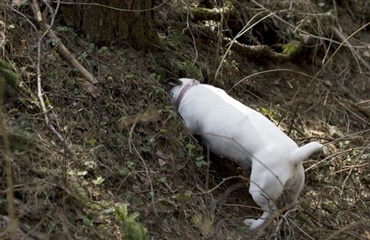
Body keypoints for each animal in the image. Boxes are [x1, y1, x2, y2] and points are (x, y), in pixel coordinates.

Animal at [171, 78, 324, 229]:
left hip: (260, 190)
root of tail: (293, 156)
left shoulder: (189, 124)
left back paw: (254, 225)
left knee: (270, 211)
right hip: (293, 192)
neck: (190, 89)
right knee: (291, 207)